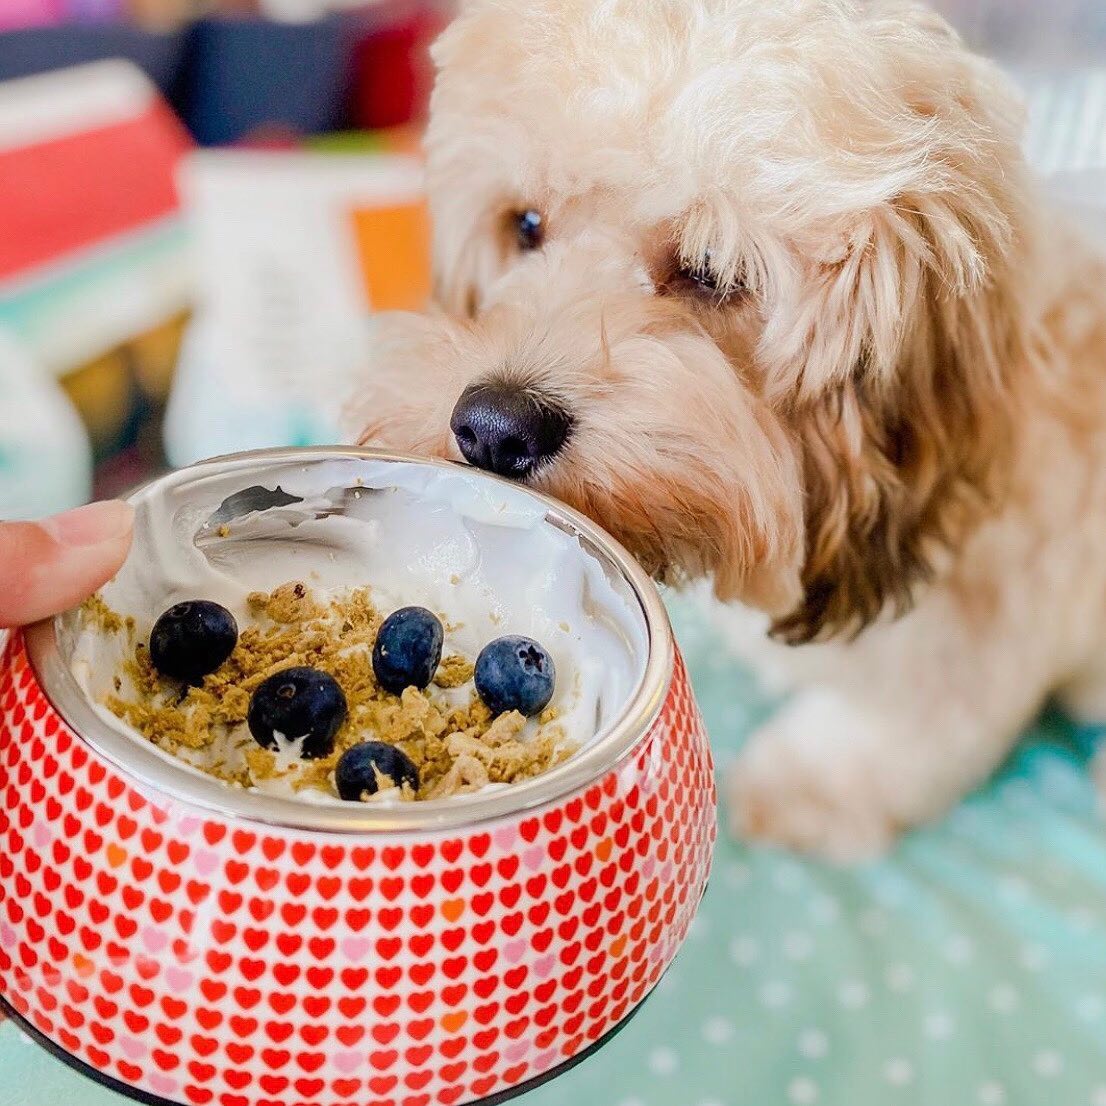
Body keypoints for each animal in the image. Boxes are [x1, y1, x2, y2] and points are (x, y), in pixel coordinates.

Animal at [349, 0, 1106, 858]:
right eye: (526, 223)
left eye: (712, 272)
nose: (493, 427)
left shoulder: (967, 642)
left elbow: (894, 729)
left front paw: (805, 785)